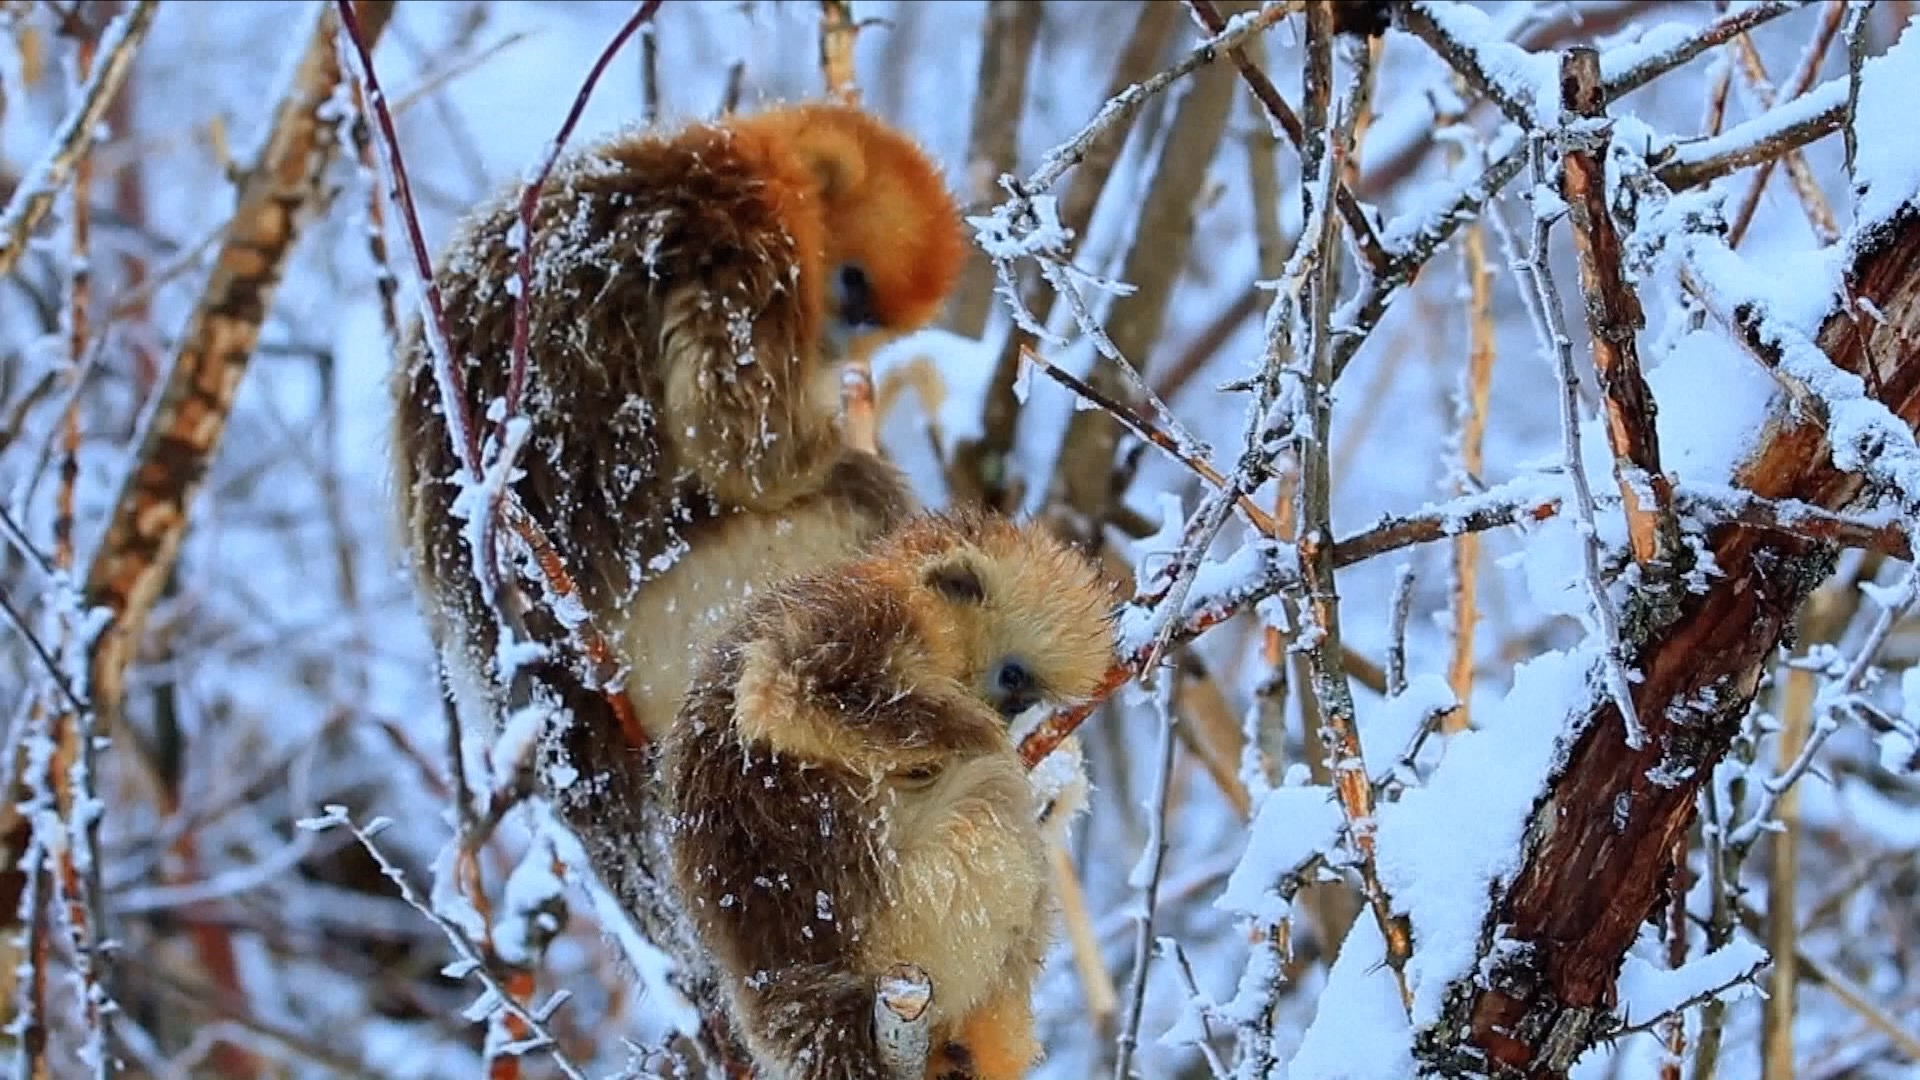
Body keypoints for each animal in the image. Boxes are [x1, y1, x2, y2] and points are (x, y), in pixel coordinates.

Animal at [387, 99, 969, 749]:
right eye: (851, 282)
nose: (838, 348)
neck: (729, 169)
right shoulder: (746, 261)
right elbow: (741, 452)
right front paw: (836, 455)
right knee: (860, 505)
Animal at [662, 510, 1120, 1080]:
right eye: (1012, 677)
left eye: (1024, 694)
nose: (1011, 711)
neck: (903, 594)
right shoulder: (861, 620)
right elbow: (780, 690)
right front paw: (981, 735)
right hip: (912, 925)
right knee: (992, 791)